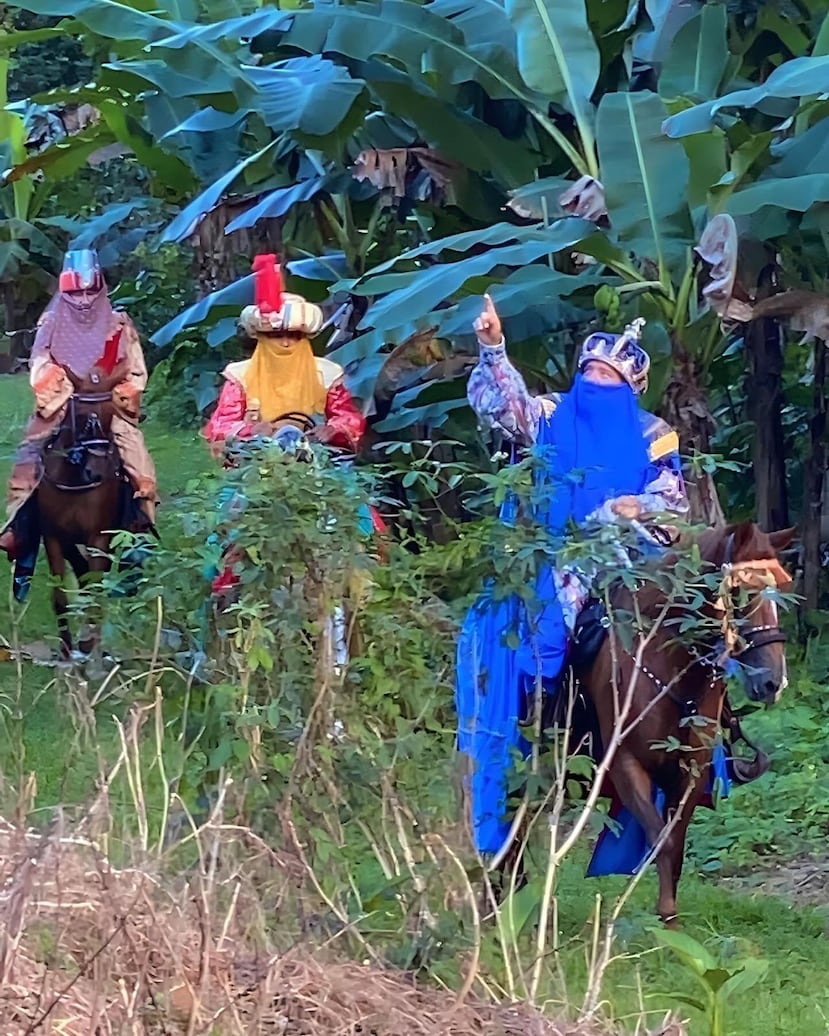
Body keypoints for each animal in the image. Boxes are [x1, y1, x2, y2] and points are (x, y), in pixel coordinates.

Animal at [35, 362, 132, 654]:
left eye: (112, 413)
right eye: (79, 414)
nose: (97, 472)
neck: (74, 480)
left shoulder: (98, 536)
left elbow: (96, 584)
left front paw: (89, 640)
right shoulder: (53, 536)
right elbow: (61, 593)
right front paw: (66, 646)